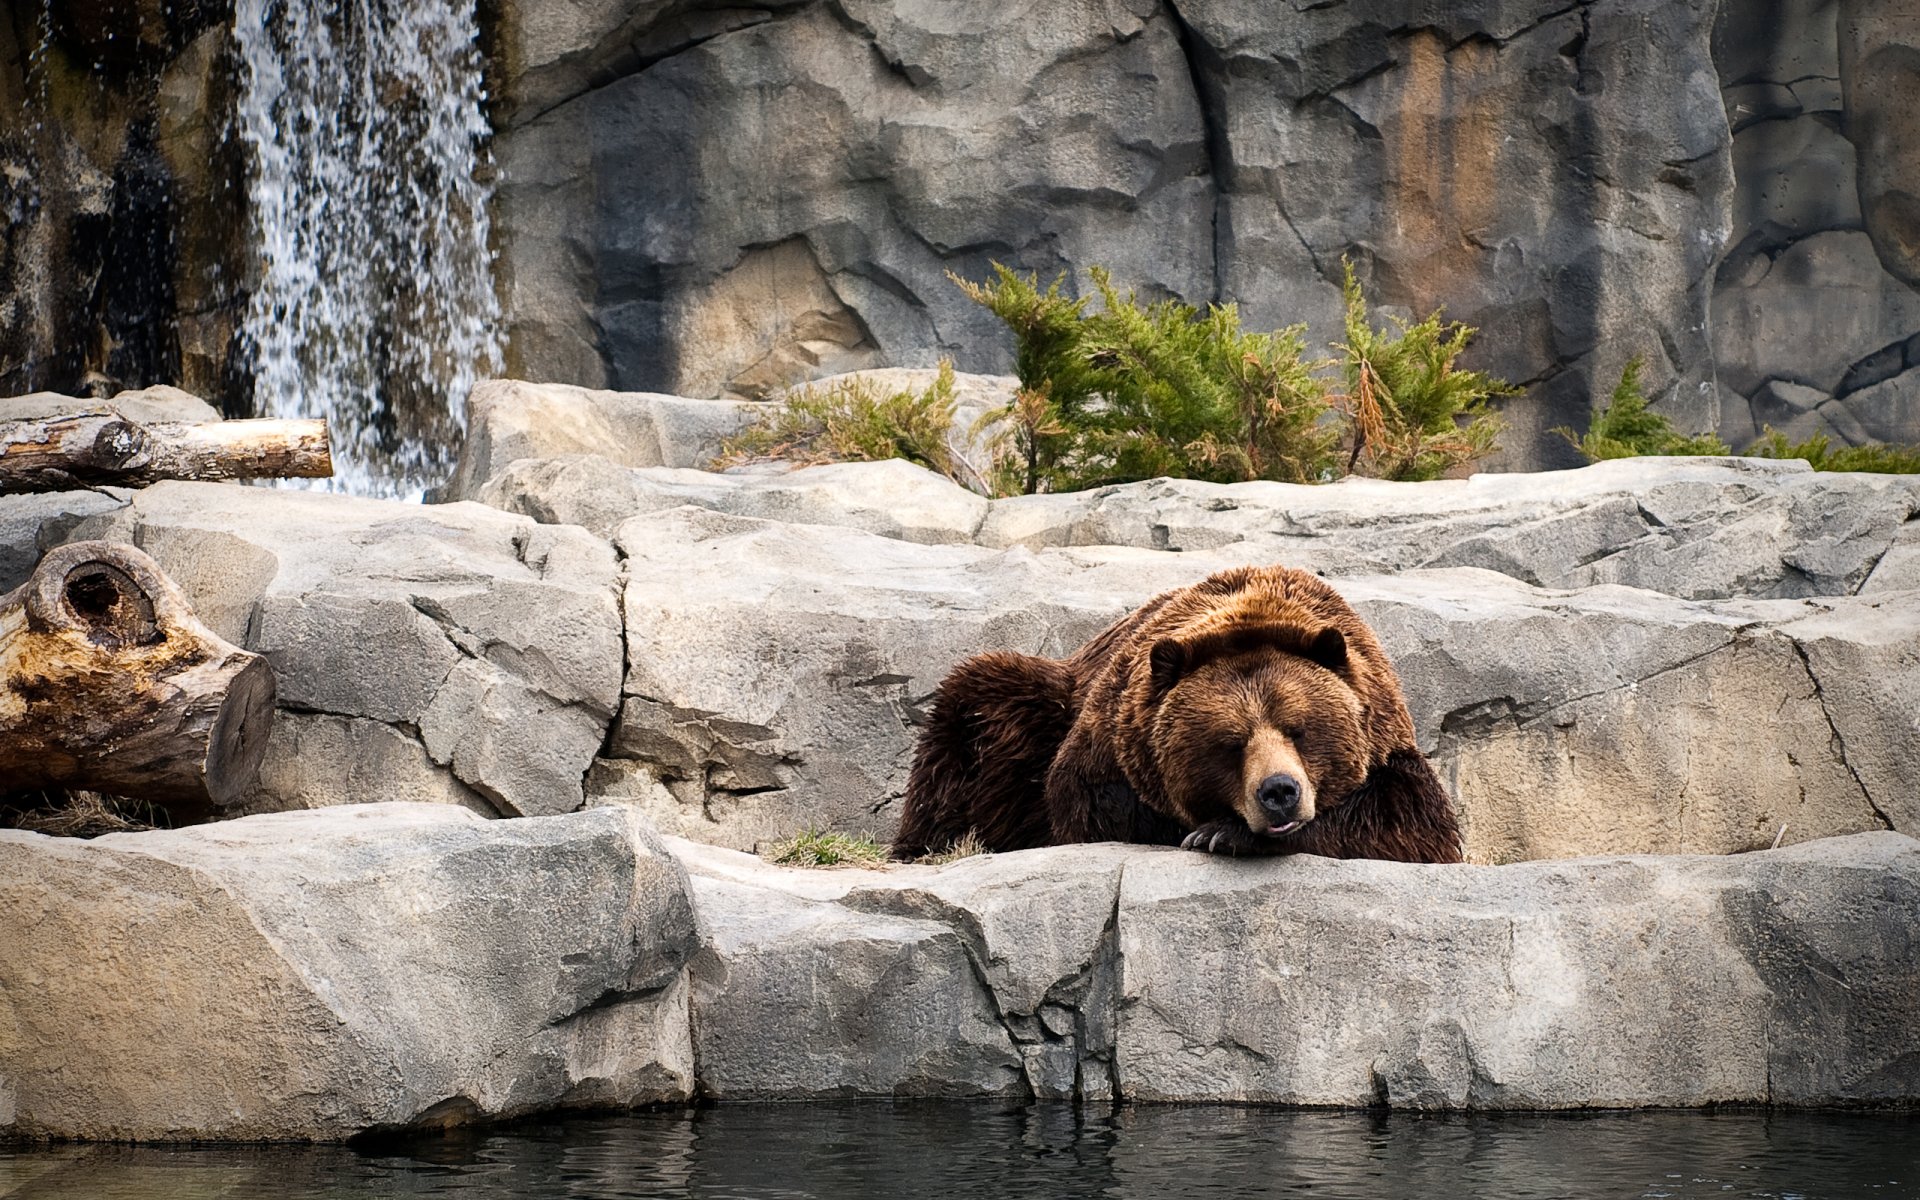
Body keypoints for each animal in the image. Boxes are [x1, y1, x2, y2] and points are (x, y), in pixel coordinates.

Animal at [892, 564, 1462, 864]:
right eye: (1231, 743)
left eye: (1299, 729)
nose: (1279, 791)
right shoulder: (1110, 738)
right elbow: (1092, 806)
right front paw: (1210, 829)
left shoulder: (1385, 737)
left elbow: (1411, 823)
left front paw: (1222, 833)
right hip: (1036, 707)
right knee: (975, 712)